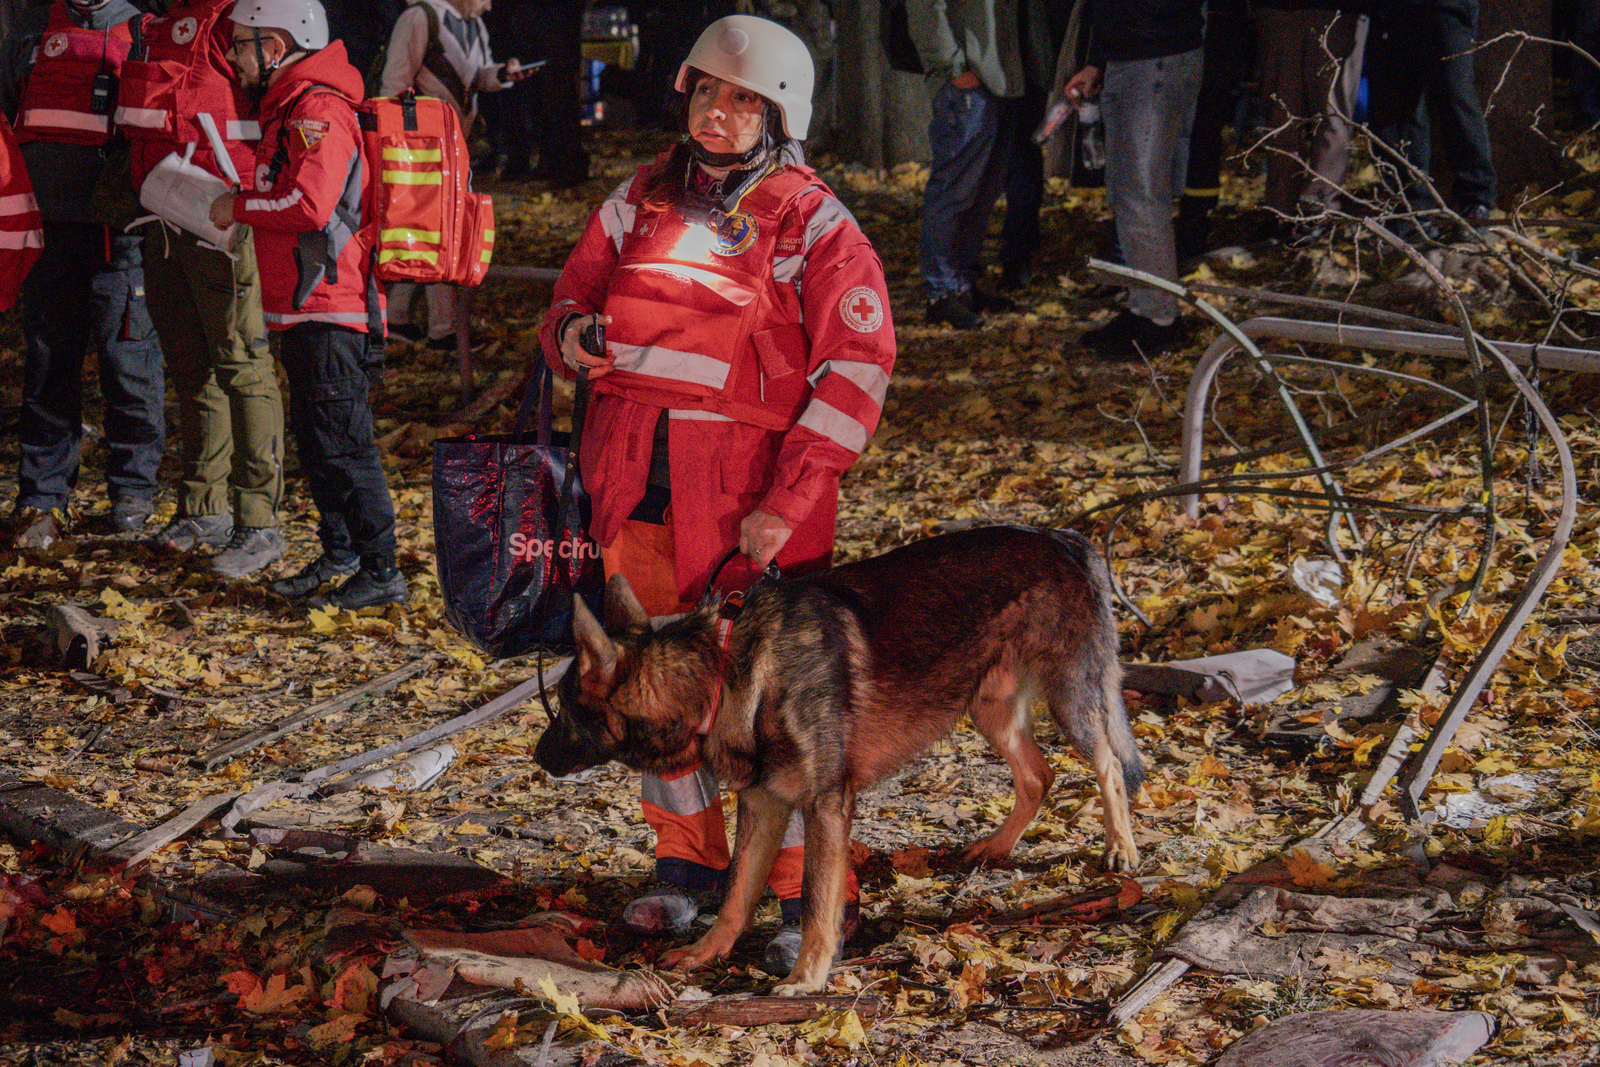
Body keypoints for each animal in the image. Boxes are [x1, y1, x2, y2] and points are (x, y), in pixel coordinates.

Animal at [534, 524, 1139, 991]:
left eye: (561, 708)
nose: (537, 756)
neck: (723, 672)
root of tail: (1065, 537)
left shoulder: (824, 807)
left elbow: (818, 905)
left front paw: (806, 978)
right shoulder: (764, 805)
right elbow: (736, 895)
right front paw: (708, 952)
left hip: (1071, 701)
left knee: (1108, 765)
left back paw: (1121, 848)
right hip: (990, 711)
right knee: (1038, 775)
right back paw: (996, 846)